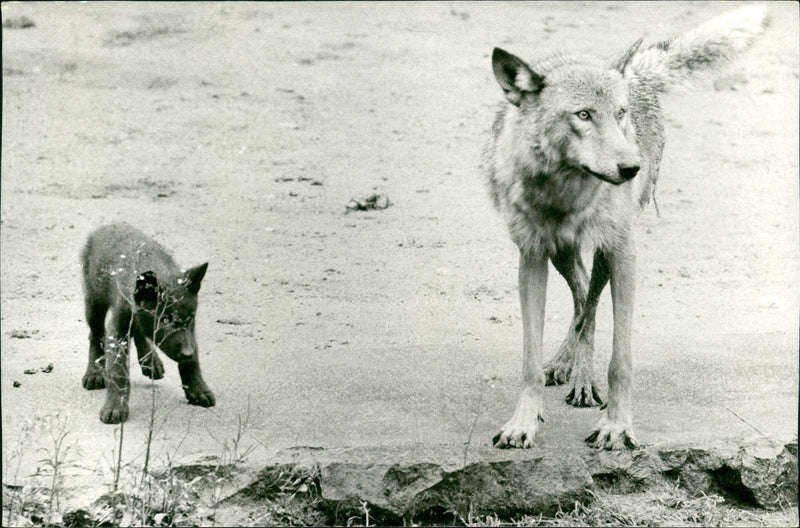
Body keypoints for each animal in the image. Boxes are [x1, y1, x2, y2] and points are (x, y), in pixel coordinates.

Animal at [81, 223, 215, 423]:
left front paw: (197, 389)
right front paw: (115, 406)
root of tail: (107, 226)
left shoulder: (190, 330)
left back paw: (150, 361)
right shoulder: (118, 327)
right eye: (165, 320)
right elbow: (118, 372)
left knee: (138, 331)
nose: (186, 353)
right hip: (94, 301)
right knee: (95, 334)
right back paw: (94, 373)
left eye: (189, 319)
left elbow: (194, 357)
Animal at [482, 6, 768, 449]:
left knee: (590, 304)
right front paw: (523, 423)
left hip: (606, 251)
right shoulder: (531, 257)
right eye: (583, 115)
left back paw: (582, 380)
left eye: (620, 114)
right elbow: (529, 360)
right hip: (563, 254)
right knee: (583, 300)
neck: (567, 191)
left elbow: (621, 359)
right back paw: (567, 367)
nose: (631, 167)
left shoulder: (624, 252)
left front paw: (616, 427)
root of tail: (633, 72)